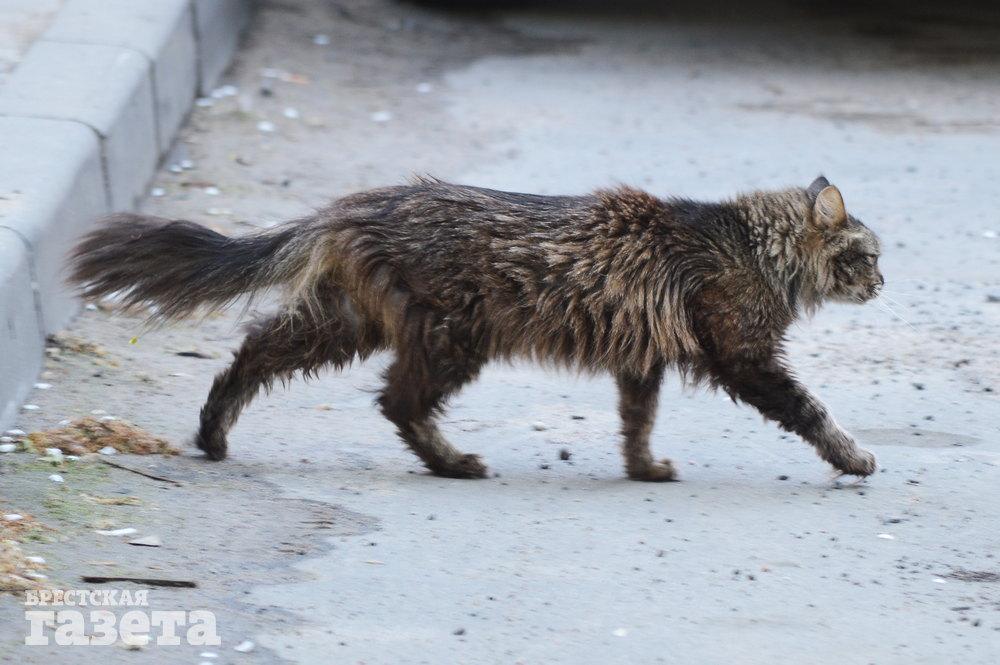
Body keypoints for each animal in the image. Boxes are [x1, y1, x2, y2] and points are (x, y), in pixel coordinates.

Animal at [69, 175, 883, 481]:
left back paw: (213, 433)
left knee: (255, 355)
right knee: (396, 401)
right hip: (450, 338)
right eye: (870, 255)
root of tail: (358, 204)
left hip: (348, 324)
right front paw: (853, 457)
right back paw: (454, 462)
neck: (751, 243)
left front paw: (643, 469)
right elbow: (810, 409)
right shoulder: (742, 353)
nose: (884, 284)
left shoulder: (641, 359)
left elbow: (637, 421)